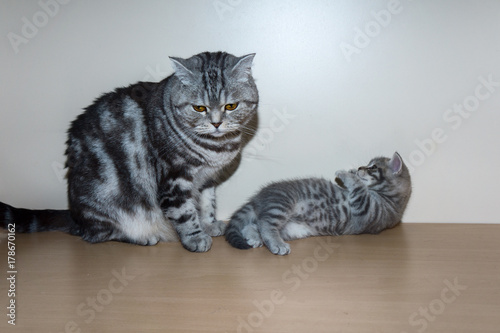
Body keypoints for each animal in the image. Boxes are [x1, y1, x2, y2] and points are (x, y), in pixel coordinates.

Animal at [2, 50, 262, 250]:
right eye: (199, 108)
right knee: (100, 235)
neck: (216, 149)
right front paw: (196, 238)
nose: (216, 123)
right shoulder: (174, 179)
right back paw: (145, 236)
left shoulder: (207, 180)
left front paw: (210, 224)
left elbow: (207, 205)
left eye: (231, 106)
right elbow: (185, 213)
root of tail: (75, 217)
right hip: (105, 204)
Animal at [225, 152, 412, 254]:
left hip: (284, 214)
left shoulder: (367, 209)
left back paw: (269, 241)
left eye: (373, 167)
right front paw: (351, 172)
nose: (360, 168)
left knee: (263, 224)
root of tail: (259, 196)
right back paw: (255, 237)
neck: (390, 200)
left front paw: (346, 174)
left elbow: (358, 188)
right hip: (282, 206)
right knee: (258, 223)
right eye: (368, 164)